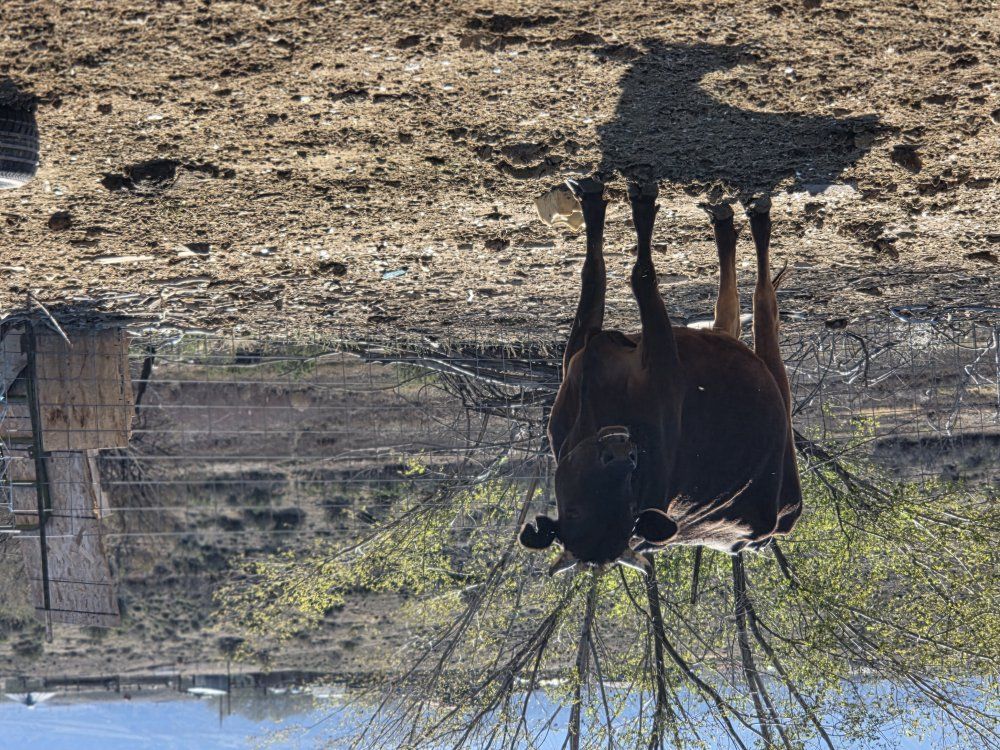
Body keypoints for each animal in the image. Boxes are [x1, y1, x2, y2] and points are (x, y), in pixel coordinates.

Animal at [518, 177, 802, 574]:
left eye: (627, 502)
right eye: (573, 511)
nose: (623, 451)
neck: (597, 405)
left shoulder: (615, 355)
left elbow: (614, 273)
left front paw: (609, 205)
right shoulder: (624, 357)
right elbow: (617, 273)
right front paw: (616, 204)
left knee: (754, 302)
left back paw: (741, 222)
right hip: (765, 384)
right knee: (746, 307)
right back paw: (734, 224)